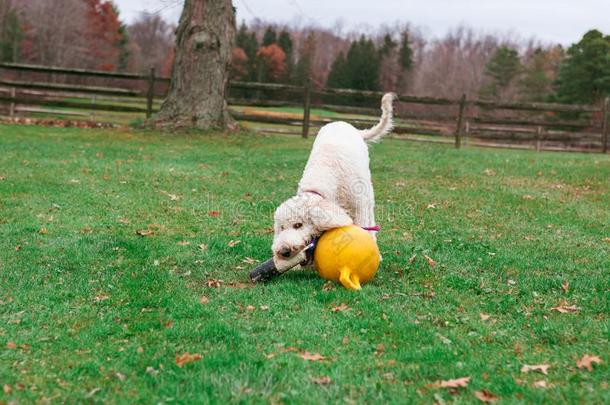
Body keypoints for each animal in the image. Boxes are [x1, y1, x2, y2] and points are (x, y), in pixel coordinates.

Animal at [270, 93, 394, 272]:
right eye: (281, 228)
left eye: (298, 225)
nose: (284, 251)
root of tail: (342, 123)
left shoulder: (359, 206)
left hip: (367, 193)